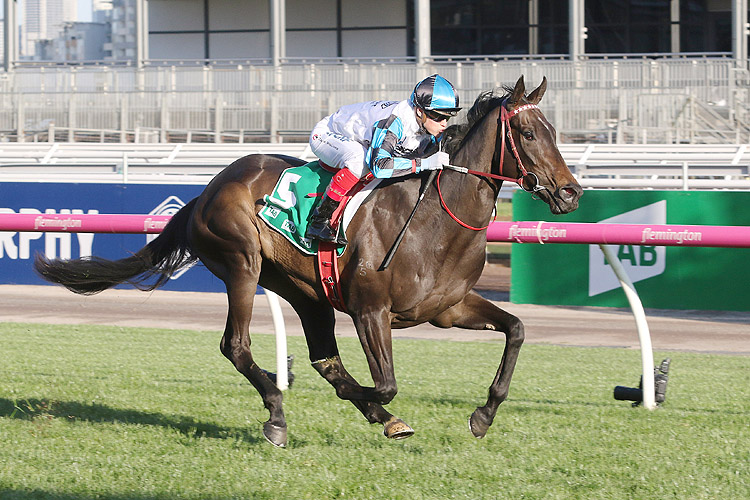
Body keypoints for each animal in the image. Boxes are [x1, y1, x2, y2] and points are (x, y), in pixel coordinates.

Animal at [34, 76, 582, 447]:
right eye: (529, 135)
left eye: (554, 130)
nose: (572, 193)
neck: (435, 221)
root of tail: (208, 189)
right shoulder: (369, 310)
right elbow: (385, 384)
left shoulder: (448, 309)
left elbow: (516, 330)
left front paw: (482, 415)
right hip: (242, 264)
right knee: (237, 346)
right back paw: (276, 412)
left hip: (303, 290)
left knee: (326, 360)